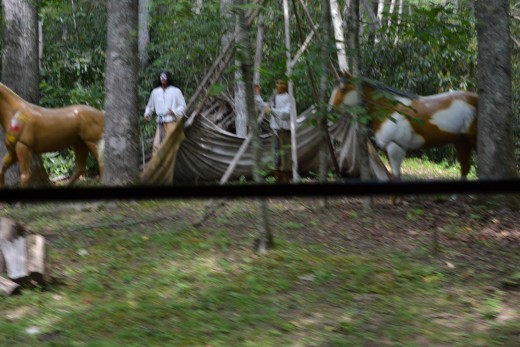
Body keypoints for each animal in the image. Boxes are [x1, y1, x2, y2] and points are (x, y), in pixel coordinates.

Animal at [332, 72, 478, 181]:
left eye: (343, 89)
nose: (330, 109)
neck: (389, 110)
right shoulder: (389, 150)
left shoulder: (395, 148)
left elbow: (396, 176)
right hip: (461, 142)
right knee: (465, 168)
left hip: (471, 140)